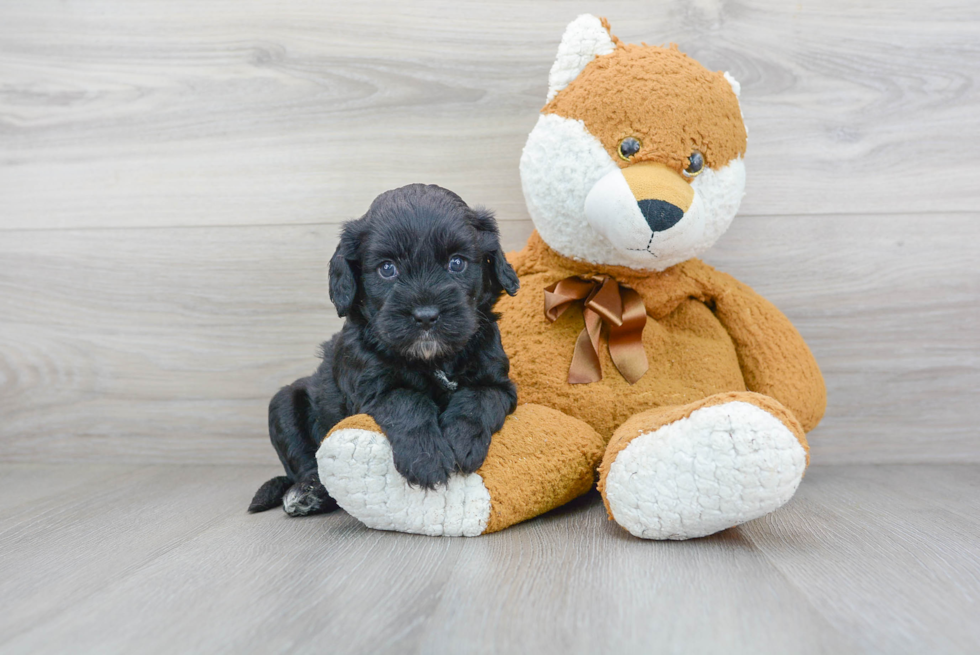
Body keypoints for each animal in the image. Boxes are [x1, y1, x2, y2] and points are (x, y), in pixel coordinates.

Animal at [249, 184, 520, 516]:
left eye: (457, 263)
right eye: (387, 269)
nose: (426, 316)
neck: (433, 359)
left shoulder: (499, 382)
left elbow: (479, 399)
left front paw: (461, 440)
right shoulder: (371, 386)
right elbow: (407, 401)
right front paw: (426, 459)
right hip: (283, 404)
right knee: (307, 464)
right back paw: (307, 492)